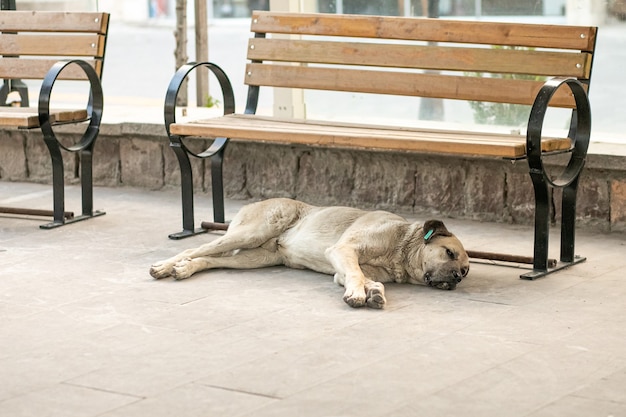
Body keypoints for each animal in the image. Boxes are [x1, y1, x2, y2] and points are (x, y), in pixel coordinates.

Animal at [149, 197, 466, 308]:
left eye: (464, 271)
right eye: (449, 254)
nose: (456, 280)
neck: (400, 249)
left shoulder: (343, 266)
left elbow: (359, 276)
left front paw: (373, 291)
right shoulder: (343, 249)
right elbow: (355, 274)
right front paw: (360, 293)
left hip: (254, 258)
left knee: (208, 259)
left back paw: (185, 268)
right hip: (252, 232)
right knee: (193, 247)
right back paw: (165, 266)